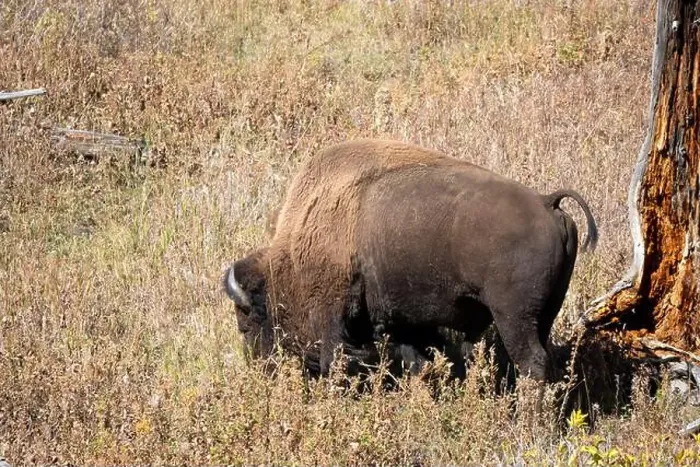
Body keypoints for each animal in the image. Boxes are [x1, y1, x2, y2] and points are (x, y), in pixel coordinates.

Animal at [223, 139, 598, 382]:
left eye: (249, 321)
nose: (261, 372)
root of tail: (546, 202)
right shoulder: (404, 322)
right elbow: (416, 361)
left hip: (514, 316)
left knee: (531, 363)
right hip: (545, 312)